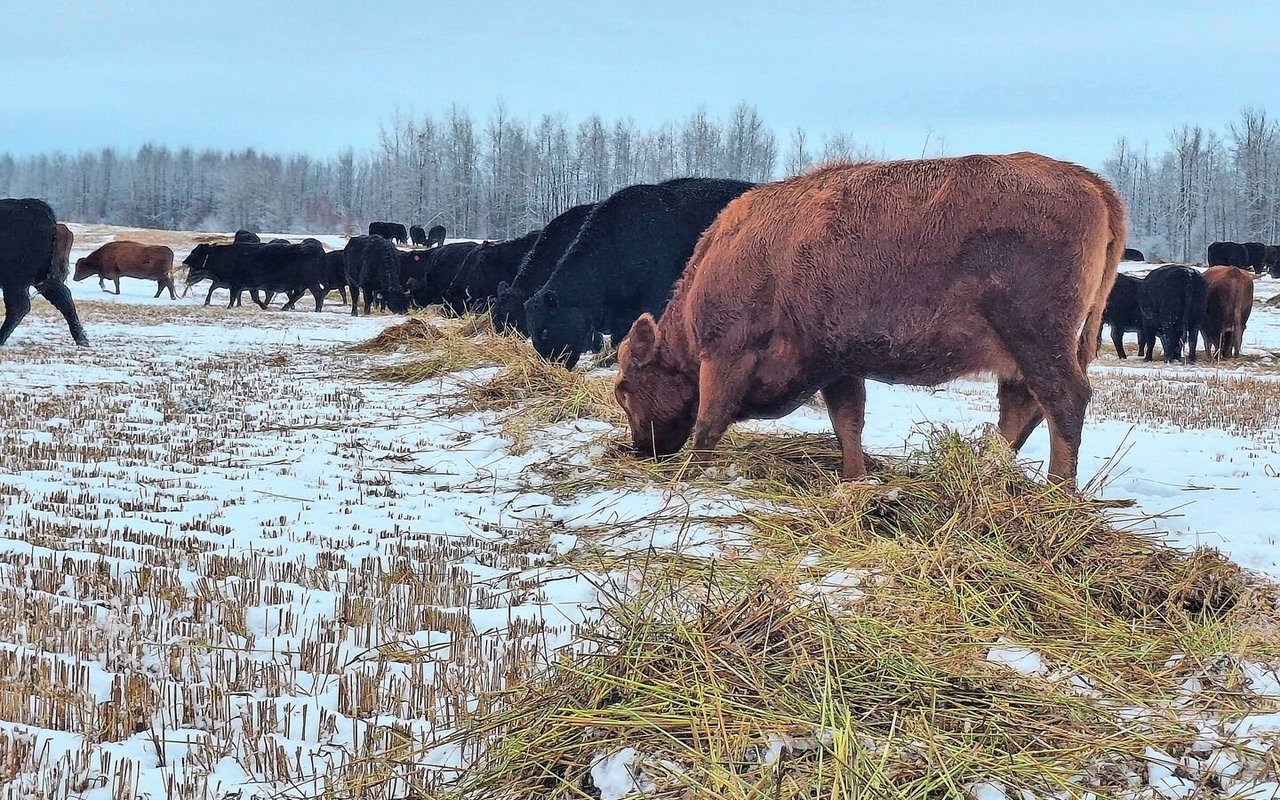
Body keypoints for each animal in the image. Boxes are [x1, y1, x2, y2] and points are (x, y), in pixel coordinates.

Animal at [614, 152, 1126, 483]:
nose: (642, 449)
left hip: (1036, 338)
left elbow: (709, 421)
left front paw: (686, 478)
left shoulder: (727, 354)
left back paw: (1058, 493)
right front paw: (854, 479)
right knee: (1022, 406)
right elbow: (848, 423)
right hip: (1022, 353)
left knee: (1064, 400)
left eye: (624, 390)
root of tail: (1089, 182)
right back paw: (990, 472)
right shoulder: (836, 366)